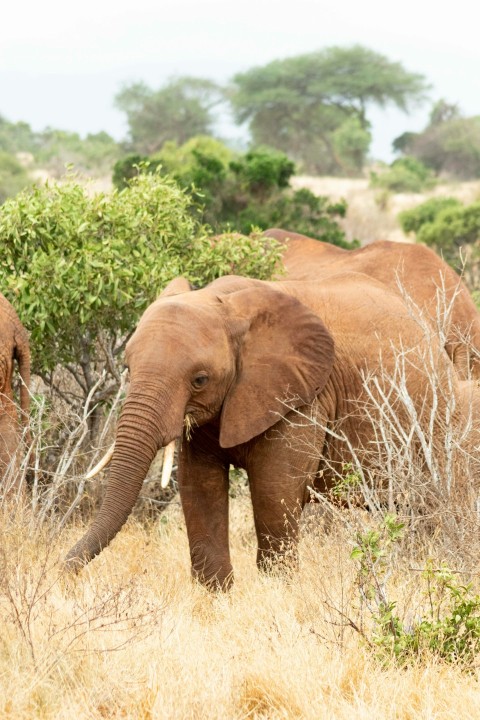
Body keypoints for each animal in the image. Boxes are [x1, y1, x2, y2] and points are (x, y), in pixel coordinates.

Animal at [64, 272, 476, 588]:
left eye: (200, 379)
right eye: (128, 368)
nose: (62, 571)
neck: (225, 302)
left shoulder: (304, 397)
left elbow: (275, 488)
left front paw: (277, 590)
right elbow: (199, 485)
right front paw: (215, 596)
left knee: (434, 508)